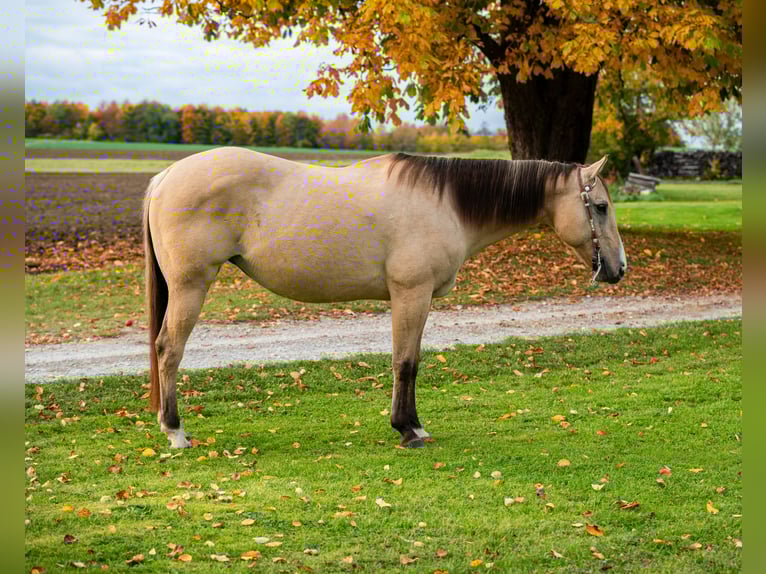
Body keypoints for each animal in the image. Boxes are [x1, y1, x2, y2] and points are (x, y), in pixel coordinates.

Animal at [144, 148, 626, 448]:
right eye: (601, 207)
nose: (620, 268)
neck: (445, 203)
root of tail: (166, 176)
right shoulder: (411, 294)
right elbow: (405, 362)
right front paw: (407, 430)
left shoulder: (417, 298)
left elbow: (411, 361)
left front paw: (413, 425)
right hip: (191, 287)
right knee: (169, 350)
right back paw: (176, 432)